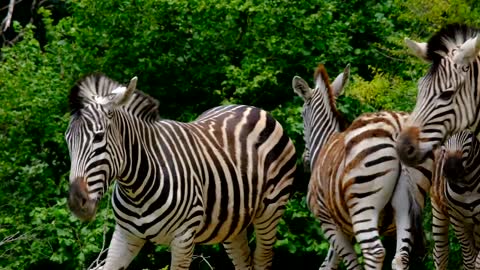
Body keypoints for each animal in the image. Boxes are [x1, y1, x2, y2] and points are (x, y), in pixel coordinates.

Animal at [63, 74, 296, 270]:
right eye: (68, 139)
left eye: (99, 137)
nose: (76, 202)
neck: (136, 187)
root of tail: (251, 107)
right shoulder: (125, 235)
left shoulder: (183, 238)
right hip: (233, 223)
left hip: (270, 211)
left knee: (262, 259)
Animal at [292, 64, 432, 268]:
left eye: (302, 115)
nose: (304, 159)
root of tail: (397, 124)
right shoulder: (344, 229)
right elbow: (328, 264)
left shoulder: (328, 221)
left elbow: (350, 263)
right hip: (407, 205)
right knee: (401, 257)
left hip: (363, 204)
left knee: (375, 252)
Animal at [430, 129, 480, 270]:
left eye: (470, 135)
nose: (450, 170)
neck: (469, 186)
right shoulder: (456, 218)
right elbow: (469, 260)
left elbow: (477, 261)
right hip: (438, 210)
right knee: (440, 252)